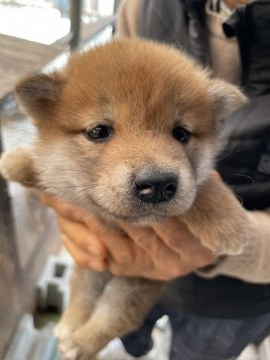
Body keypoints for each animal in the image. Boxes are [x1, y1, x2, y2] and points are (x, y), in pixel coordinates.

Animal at [0, 39, 249, 360]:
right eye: (98, 131)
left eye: (181, 133)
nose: (157, 184)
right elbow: (45, 166)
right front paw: (18, 160)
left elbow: (202, 187)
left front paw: (227, 222)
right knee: (83, 295)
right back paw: (70, 325)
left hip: (134, 282)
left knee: (112, 314)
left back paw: (80, 342)